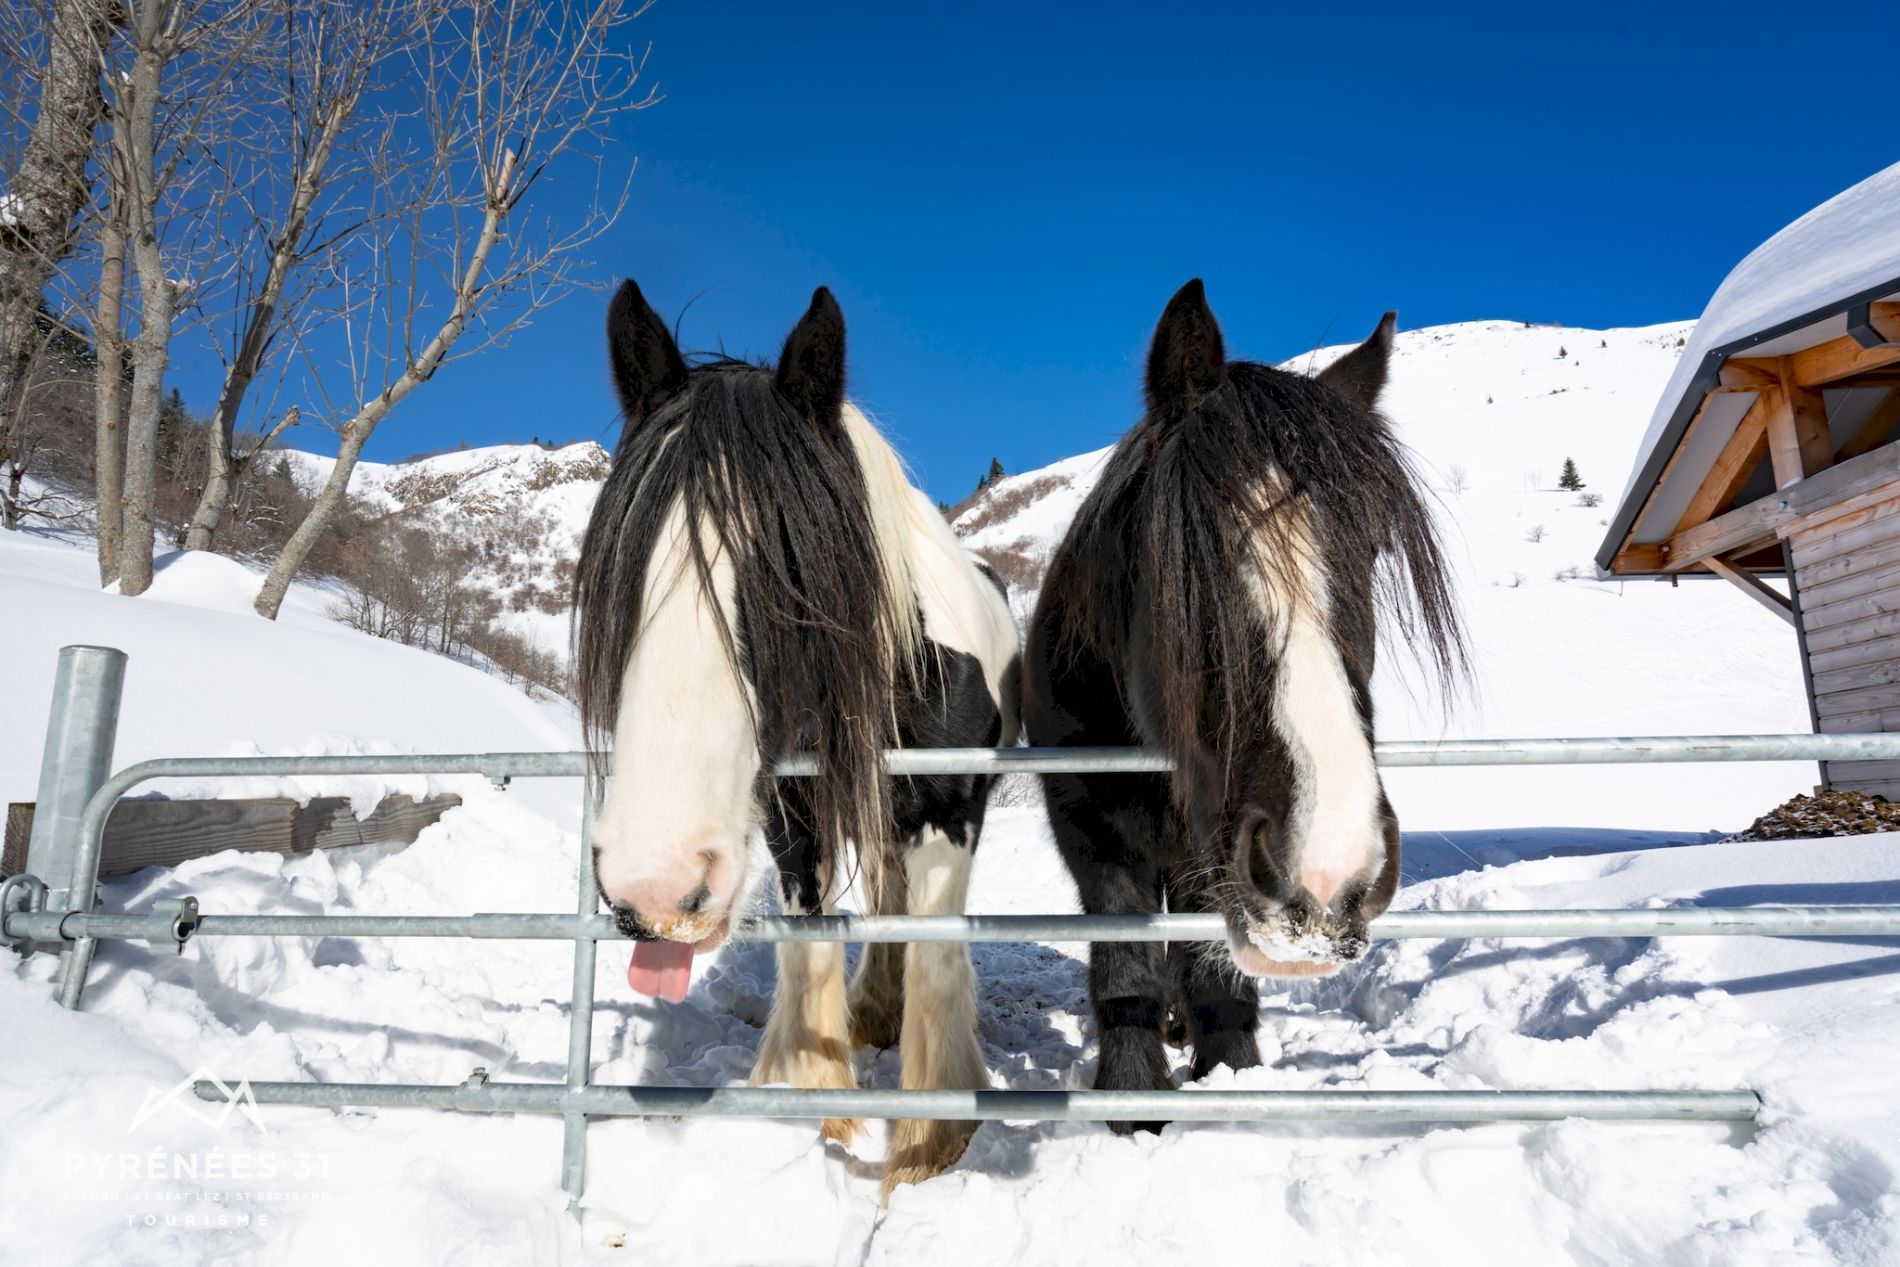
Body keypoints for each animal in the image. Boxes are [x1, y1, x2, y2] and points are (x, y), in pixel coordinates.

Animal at [570, 283, 1026, 1192]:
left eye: (790, 583)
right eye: (623, 574)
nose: (653, 883)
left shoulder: (951, 811)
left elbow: (937, 961)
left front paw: (929, 1146)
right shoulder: (793, 812)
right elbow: (810, 946)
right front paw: (822, 1110)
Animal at [1026, 283, 1451, 1124]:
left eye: (1374, 545)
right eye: (1181, 558)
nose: (1328, 870)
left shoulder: (1207, 850)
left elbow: (1210, 964)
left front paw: (1228, 1066)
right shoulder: (1090, 830)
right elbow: (1124, 962)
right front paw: (1134, 1101)